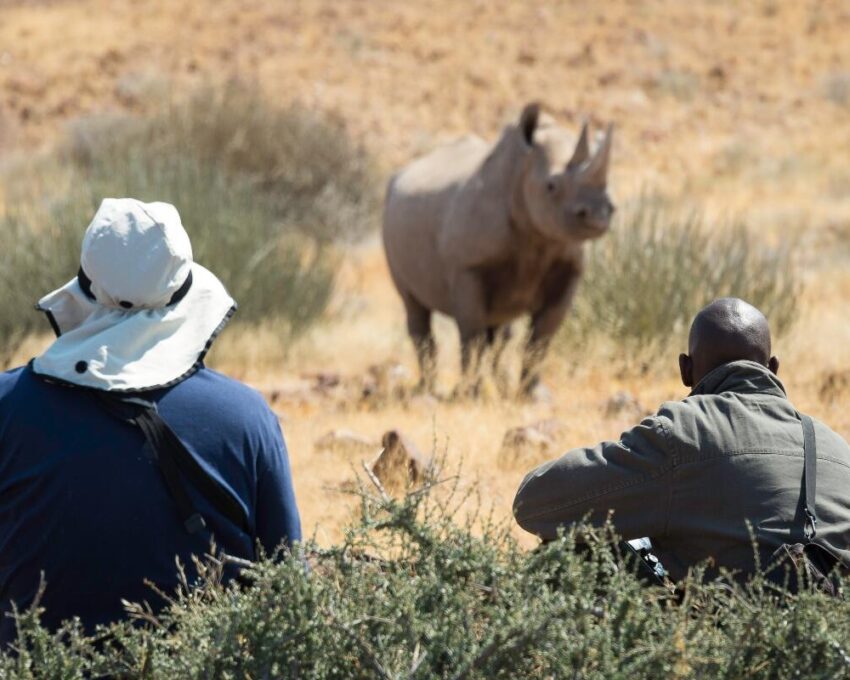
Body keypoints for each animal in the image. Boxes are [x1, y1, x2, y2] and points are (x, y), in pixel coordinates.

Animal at [382, 103, 614, 397]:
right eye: (551, 186)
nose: (598, 214)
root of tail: (402, 172)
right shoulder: (468, 268)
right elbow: (472, 334)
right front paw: (469, 393)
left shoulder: (568, 268)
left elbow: (542, 338)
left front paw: (532, 395)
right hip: (388, 214)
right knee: (416, 309)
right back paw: (427, 390)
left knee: (500, 330)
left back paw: (497, 385)